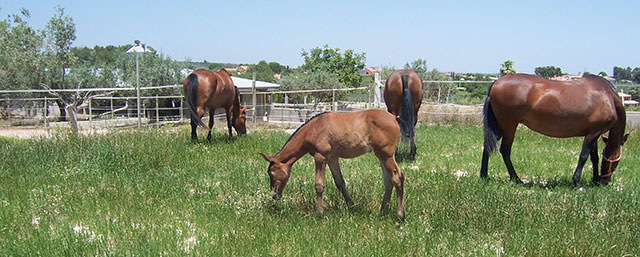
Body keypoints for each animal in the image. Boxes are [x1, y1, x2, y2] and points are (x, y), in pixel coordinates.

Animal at [260, 109, 404, 220]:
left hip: (386, 155)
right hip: (381, 156)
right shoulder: (332, 158)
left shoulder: (320, 157)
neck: (314, 128)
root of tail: (394, 118)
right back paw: (383, 212)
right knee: (388, 181)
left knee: (397, 178)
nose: (274, 195)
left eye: (271, 172)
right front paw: (351, 206)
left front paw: (320, 213)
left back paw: (400, 216)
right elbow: (340, 182)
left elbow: (319, 185)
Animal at [480, 73, 632, 185]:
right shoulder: (594, 133)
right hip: (509, 126)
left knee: (487, 146)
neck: (608, 98)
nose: (605, 180)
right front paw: (577, 182)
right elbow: (583, 156)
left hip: (500, 127)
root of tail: (496, 83)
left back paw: (484, 175)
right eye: (618, 159)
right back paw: (516, 179)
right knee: (505, 150)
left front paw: (594, 180)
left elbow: (593, 157)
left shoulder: (593, 132)